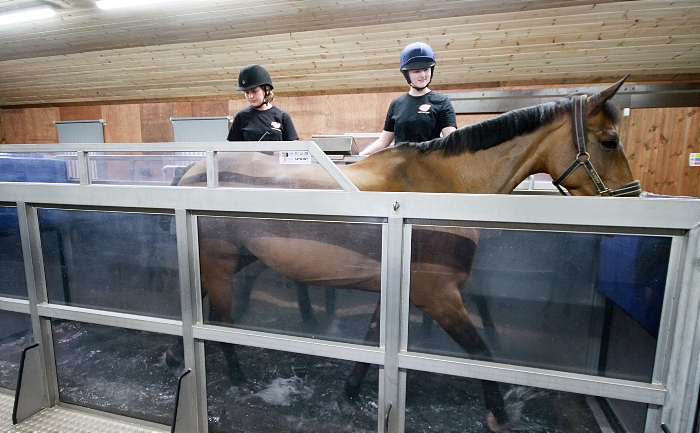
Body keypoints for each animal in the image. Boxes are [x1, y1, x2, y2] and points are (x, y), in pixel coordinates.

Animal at [179, 76, 640, 430]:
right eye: (609, 141)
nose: (632, 197)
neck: (443, 188)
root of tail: (190, 173)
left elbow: (373, 340)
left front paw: (349, 394)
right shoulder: (438, 296)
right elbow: (480, 352)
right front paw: (498, 415)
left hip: (238, 258)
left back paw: (172, 357)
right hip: (221, 263)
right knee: (220, 318)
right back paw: (237, 380)